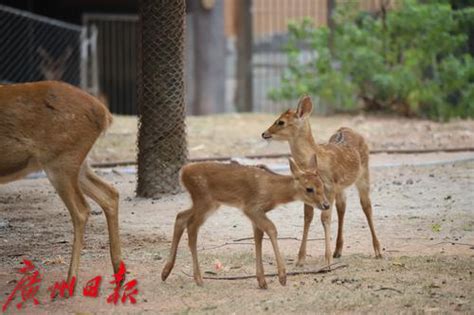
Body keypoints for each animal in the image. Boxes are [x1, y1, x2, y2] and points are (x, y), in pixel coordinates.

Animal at [0, 80, 122, 282]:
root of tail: (104, 113)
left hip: (61, 160)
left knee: (81, 210)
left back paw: (70, 281)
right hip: (77, 163)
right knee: (109, 193)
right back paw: (119, 273)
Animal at [160, 159, 330, 290]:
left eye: (322, 184)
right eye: (309, 189)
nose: (326, 205)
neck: (272, 191)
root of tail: (183, 172)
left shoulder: (256, 213)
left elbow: (258, 237)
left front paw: (262, 281)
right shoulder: (251, 207)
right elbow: (272, 229)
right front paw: (282, 277)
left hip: (207, 203)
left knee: (181, 217)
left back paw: (165, 272)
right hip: (204, 199)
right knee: (192, 227)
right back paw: (198, 279)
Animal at [262, 95, 384, 266]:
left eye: (281, 122)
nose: (264, 133)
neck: (317, 159)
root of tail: (347, 128)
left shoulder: (329, 186)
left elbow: (325, 217)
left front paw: (326, 260)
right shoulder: (310, 190)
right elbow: (308, 217)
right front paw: (300, 259)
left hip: (364, 174)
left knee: (366, 206)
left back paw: (378, 250)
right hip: (342, 187)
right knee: (342, 207)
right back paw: (338, 250)